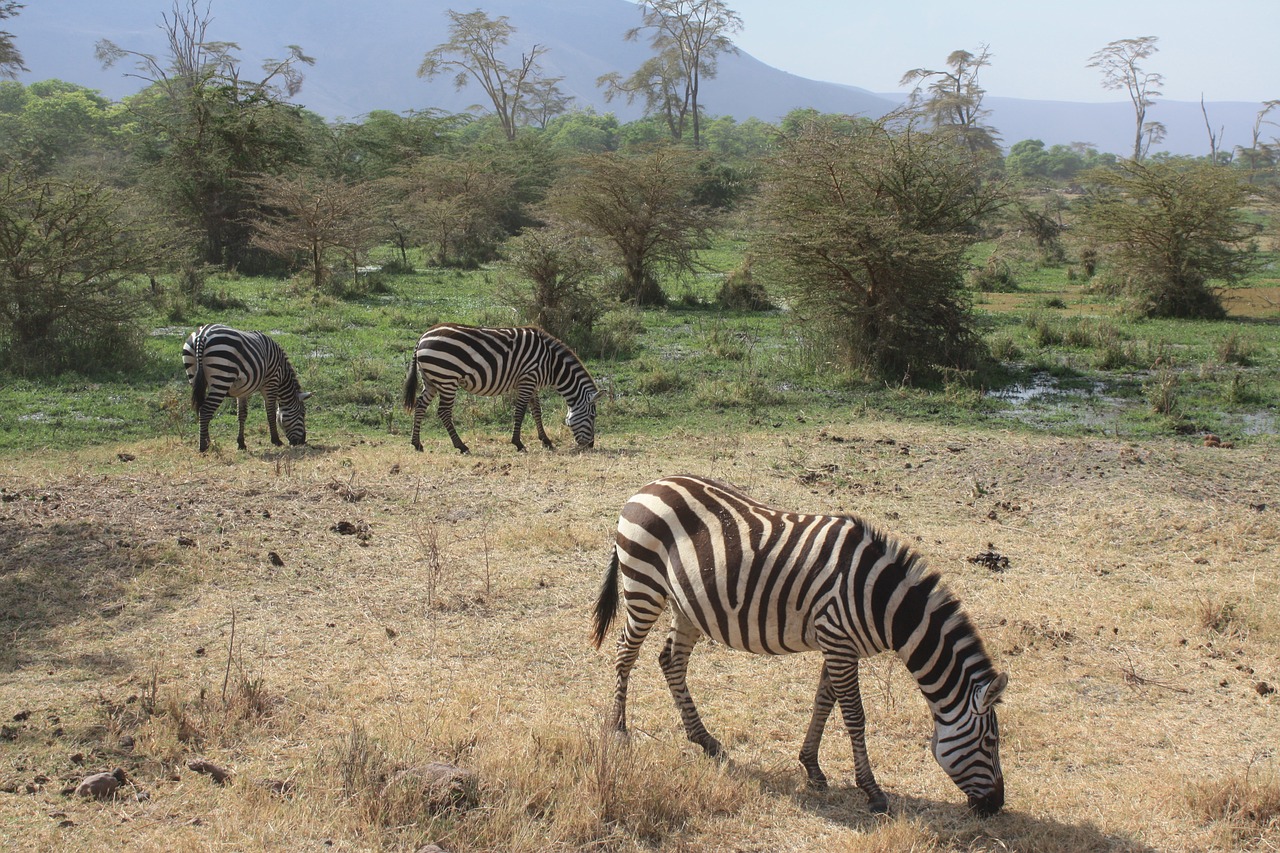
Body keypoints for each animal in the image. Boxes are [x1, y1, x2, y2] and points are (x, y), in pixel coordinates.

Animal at [181, 322, 311, 450]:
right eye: (303, 414)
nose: (302, 441)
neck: (282, 372)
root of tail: (202, 335)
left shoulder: (242, 391)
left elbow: (242, 415)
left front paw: (241, 443)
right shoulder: (271, 383)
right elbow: (271, 412)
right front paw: (276, 440)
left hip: (194, 375)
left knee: (201, 410)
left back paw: (208, 442)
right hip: (222, 378)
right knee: (205, 410)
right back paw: (203, 446)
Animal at [399, 322, 599, 450]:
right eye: (592, 416)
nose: (590, 446)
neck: (550, 363)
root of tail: (422, 337)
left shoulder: (531, 382)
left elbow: (536, 411)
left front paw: (546, 441)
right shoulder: (528, 379)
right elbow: (520, 412)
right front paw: (518, 443)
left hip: (431, 380)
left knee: (420, 405)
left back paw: (417, 443)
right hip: (447, 378)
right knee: (444, 412)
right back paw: (461, 446)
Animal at [588, 473, 1008, 814]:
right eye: (990, 742)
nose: (996, 806)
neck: (881, 598)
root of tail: (645, 488)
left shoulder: (839, 644)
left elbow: (824, 702)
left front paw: (812, 767)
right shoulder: (838, 639)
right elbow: (854, 716)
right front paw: (872, 792)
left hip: (685, 602)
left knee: (670, 660)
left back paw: (704, 740)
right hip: (644, 586)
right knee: (626, 653)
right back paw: (619, 729)